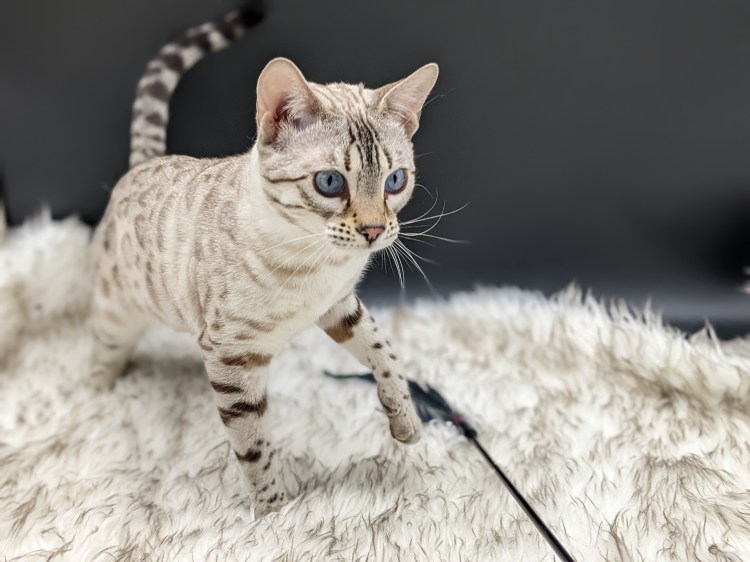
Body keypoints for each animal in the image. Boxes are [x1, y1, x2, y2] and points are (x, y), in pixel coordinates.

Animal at [90, 6, 439, 516]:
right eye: (330, 182)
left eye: (396, 180)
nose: (375, 231)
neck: (315, 265)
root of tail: (142, 165)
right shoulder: (230, 355)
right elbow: (252, 445)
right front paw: (274, 512)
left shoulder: (340, 306)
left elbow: (385, 353)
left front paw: (407, 423)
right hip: (115, 314)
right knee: (102, 354)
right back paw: (98, 398)